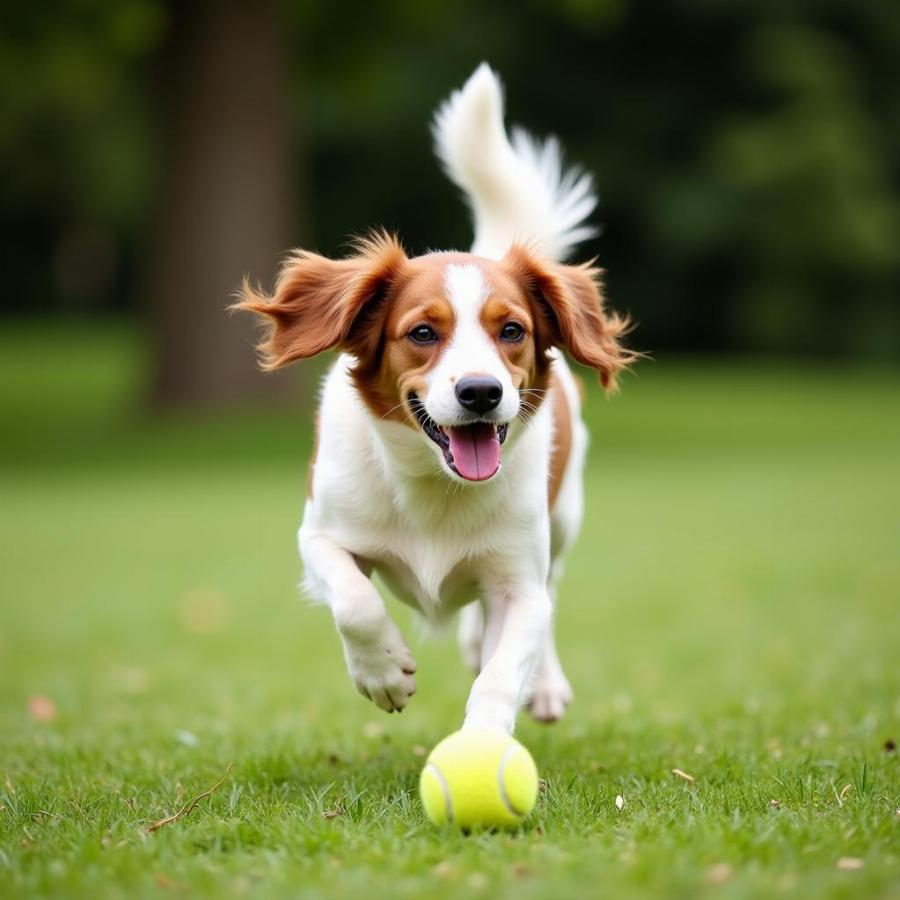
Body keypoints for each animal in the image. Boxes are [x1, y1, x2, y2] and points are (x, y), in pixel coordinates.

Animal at [239, 65, 632, 740]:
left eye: (512, 330)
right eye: (423, 332)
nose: (481, 392)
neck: (435, 489)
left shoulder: (520, 580)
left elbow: (509, 660)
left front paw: (484, 740)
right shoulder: (319, 535)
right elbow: (354, 600)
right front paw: (383, 672)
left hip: (563, 519)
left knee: (549, 597)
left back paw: (543, 681)